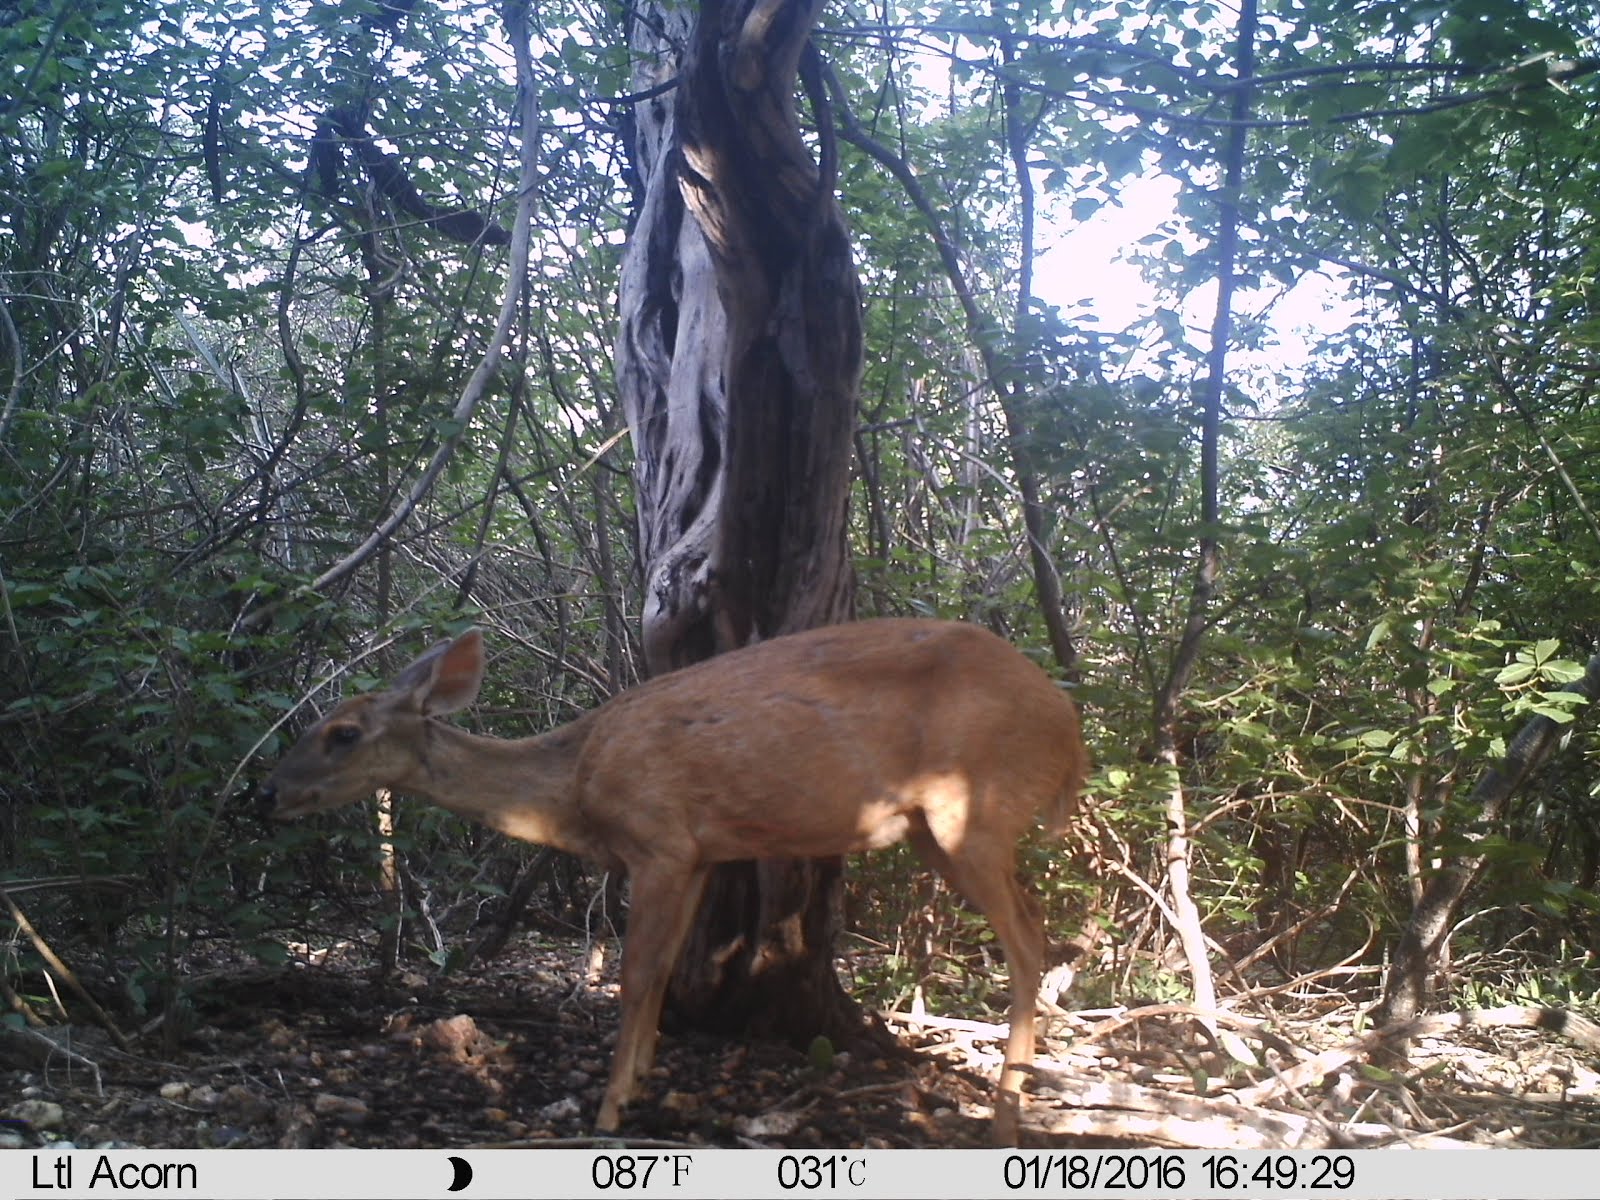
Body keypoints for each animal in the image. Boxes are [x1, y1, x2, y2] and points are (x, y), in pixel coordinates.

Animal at [262, 620, 1088, 1145]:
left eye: (342, 732)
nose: (271, 791)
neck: (573, 782)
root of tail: (1069, 722)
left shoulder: (656, 840)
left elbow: (632, 975)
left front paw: (608, 1110)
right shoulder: (697, 852)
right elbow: (661, 975)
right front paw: (642, 1077)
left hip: (972, 811)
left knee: (1028, 943)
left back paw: (1005, 1117)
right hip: (932, 828)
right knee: (1037, 931)